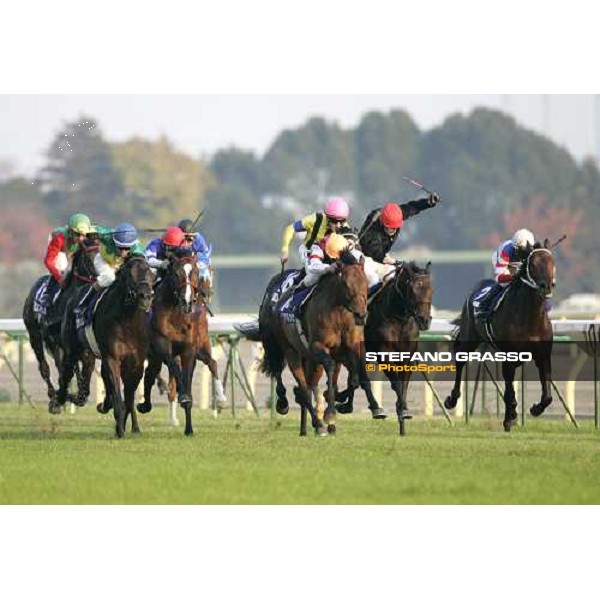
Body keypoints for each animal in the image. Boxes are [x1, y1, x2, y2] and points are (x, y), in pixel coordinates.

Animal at [137, 252, 226, 436]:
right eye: (176, 273)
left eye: (196, 272)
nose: (187, 300)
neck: (177, 315)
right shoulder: (163, 346)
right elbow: (177, 372)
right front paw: (182, 396)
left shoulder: (190, 350)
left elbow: (187, 377)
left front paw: (189, 428)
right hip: (152, 355)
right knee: (149, 375)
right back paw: (145, 405)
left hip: (201, 345)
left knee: (212, 363)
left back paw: (221, 398)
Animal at [442, 243, 556, 432]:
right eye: (533, 265)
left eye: (552, 262)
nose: (546, 287)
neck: (529, 317)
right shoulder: (509, 357)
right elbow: (509, 391)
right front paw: (509, 418)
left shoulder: (543, 356)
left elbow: (547, 395)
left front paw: (534, 409)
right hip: (469, 337)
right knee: (460, 360)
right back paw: (452, 399)